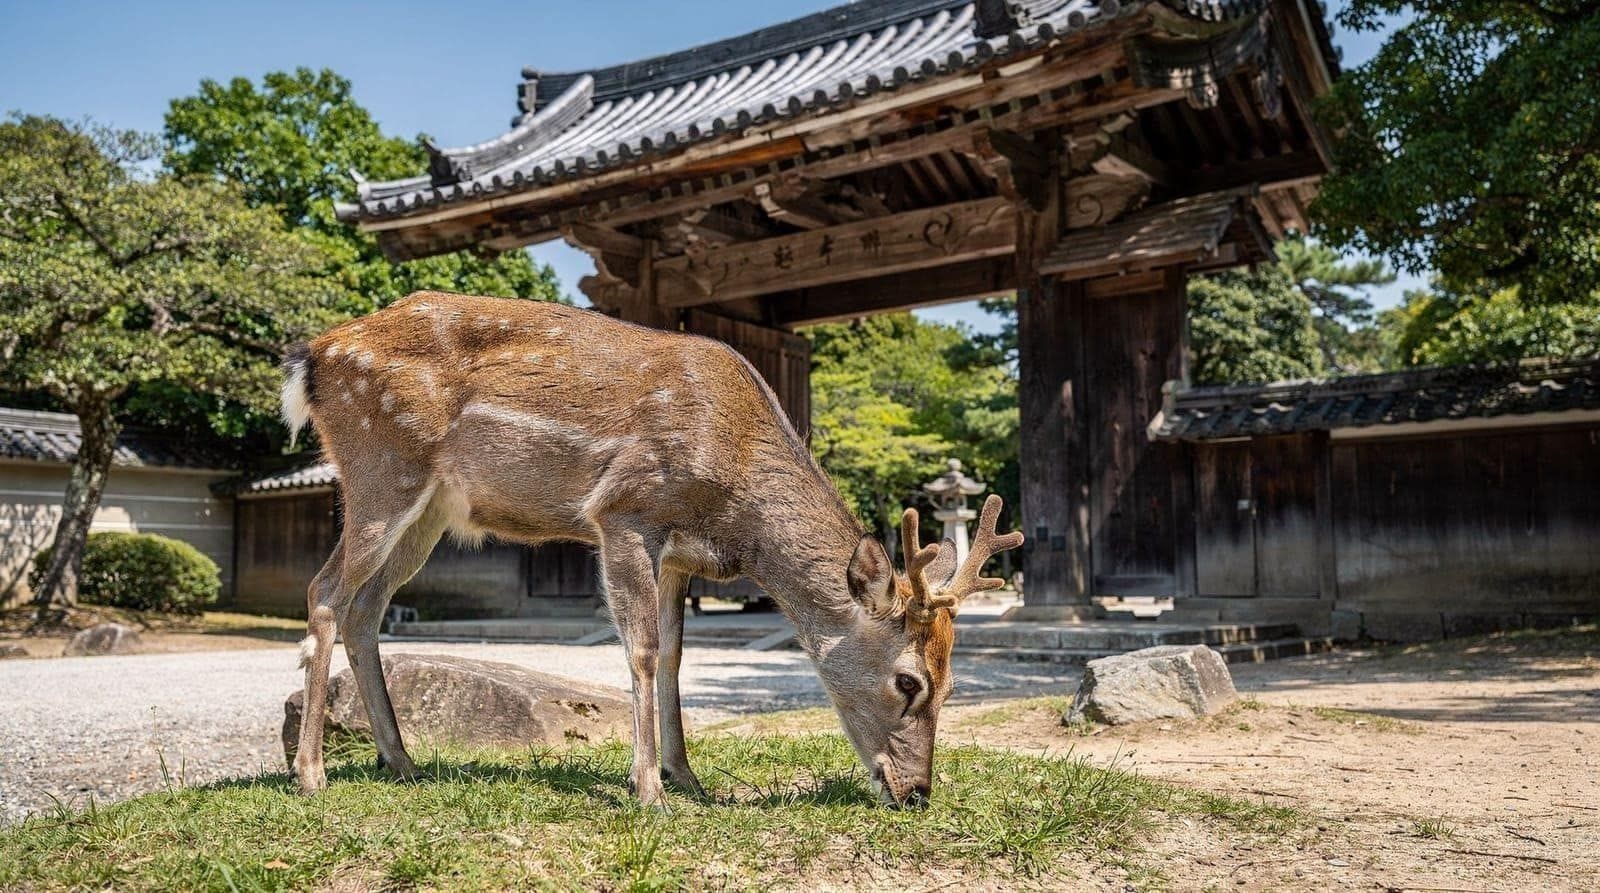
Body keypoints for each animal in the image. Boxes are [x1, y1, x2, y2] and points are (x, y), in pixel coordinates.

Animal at [280, 291, 1023, 808]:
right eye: (908, 681)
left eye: (953, 683)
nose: (917, 791)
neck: (734, 501)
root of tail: (313, 357)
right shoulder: (624, 510)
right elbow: (637, 648)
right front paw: (647, 790)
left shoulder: (678, 556)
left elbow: (672, 655)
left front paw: (687, 775)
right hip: (382, 466)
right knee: (324, 592)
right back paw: (311, 774)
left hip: (431, 510)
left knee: (366, 607)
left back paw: (403, 762)